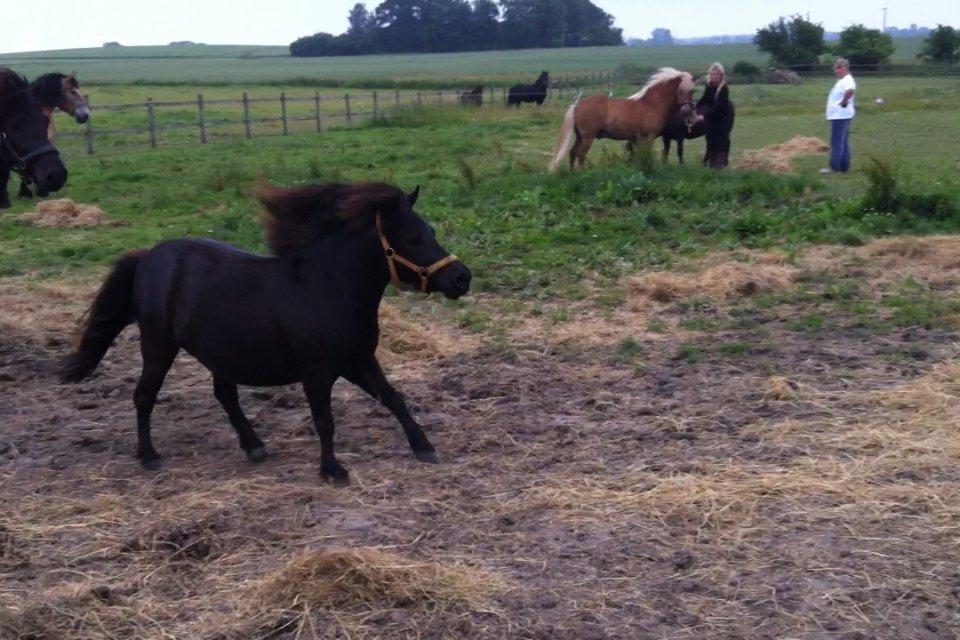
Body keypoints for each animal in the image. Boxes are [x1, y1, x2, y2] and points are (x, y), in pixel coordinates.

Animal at [62, 182, 474, 482]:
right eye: (412, 238)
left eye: (430, 231)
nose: (462, 278)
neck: (330, 287)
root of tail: (149, 256)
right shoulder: (318, 372)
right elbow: (325, 421)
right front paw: (332, 469)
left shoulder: (359, 361)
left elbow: (394, 399)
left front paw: (424, 447)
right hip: (158, 344)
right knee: (144, 395)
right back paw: (149, 456)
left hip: (220, 351)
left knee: (225, 395)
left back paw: (254, 445)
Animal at [548, 69, 696, 171]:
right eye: (680, 91)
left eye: (692, 91)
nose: (687, 111)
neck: (651, 103)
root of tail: (577, 105)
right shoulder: (648, 137)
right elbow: (645, 154)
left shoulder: (636, 139)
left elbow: (636, 156)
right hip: (588, 137)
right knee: (581, 154)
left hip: (580, 137)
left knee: (572, 153)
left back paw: (572, 173)